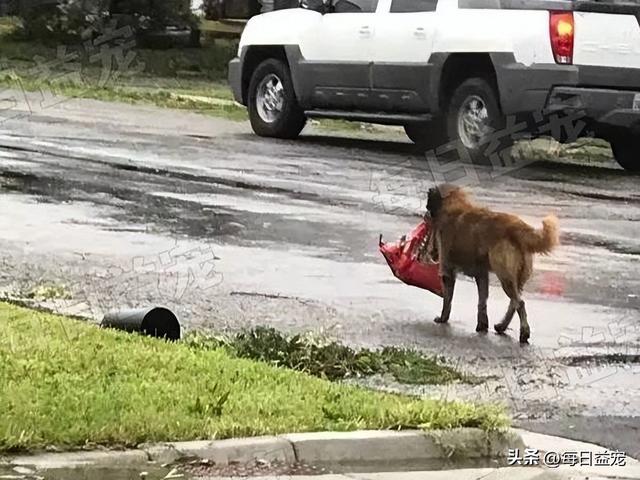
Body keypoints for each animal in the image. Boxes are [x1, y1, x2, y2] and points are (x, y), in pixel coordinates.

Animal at [424, 182, 560, 344]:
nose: (425, 215)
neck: (454, 204)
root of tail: (517, 226)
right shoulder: (482, 275)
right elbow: (482, 302)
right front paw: (482, 325)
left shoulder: (448, 270)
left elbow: (447, 300)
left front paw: (443, 318)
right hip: (517, 278)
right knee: (514, 303)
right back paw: (501, 326)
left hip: (505, 277)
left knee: (519, 303)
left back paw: (524, 333)